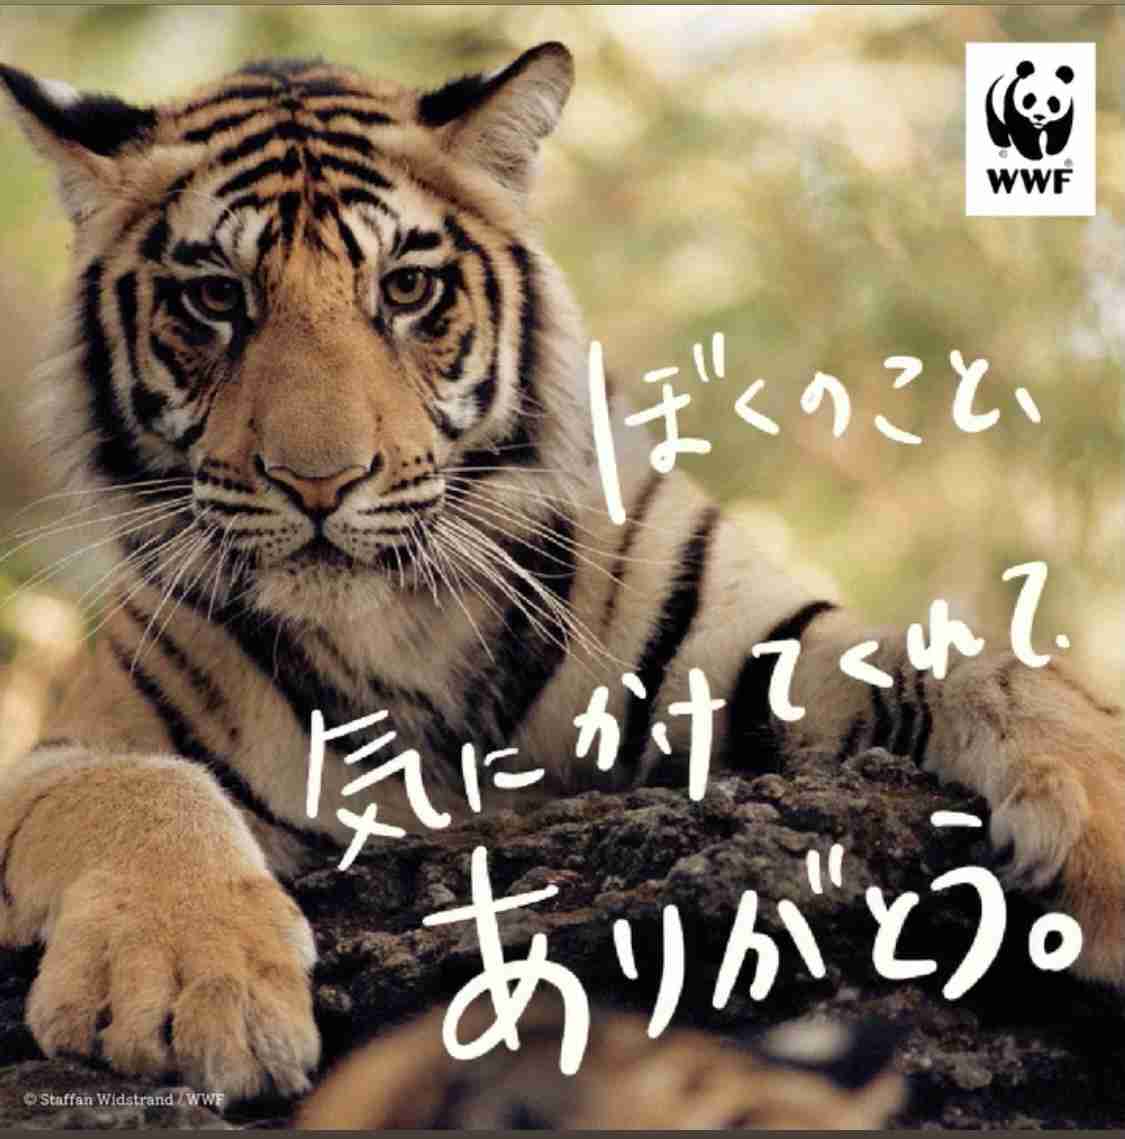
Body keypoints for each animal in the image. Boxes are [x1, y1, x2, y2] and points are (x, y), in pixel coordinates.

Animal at [0, 40, 1121, 1109]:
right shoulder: (82, 741)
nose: (320, 481)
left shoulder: (749, 647)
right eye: (215, 298)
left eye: (406, 288)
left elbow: (989, 660)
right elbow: (137, 784)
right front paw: (195, 985)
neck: (403, 623)